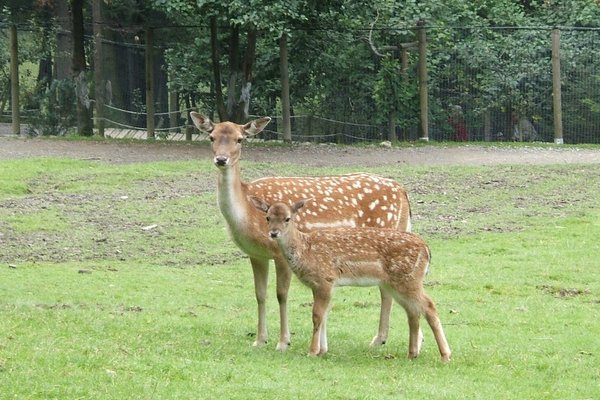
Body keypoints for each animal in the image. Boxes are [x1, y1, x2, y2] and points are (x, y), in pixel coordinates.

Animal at [190, 111, 410, 350]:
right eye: (211, 137)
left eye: (240, 139)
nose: (221, 160)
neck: (246, 214)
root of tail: (402, 191)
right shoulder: (256, 254)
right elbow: (260, 294)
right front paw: (260, 340)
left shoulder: (280, 253)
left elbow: (282, 294)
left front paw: (283, 342)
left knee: (386, 288)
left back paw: (378, 339)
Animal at [250, 199, 450, 362]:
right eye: (267, 217)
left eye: (288, 218)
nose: (273, 233)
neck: (305, 251)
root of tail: (427, 250)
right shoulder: (323, 285)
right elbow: (325, 315)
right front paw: (322, 350)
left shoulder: (325, 278)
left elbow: (317, 315)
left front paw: (312, 351)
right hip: (396, 283)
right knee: (413, 312)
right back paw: (412, 354)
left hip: (409, 280)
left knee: (429, 307)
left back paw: (445, 355)